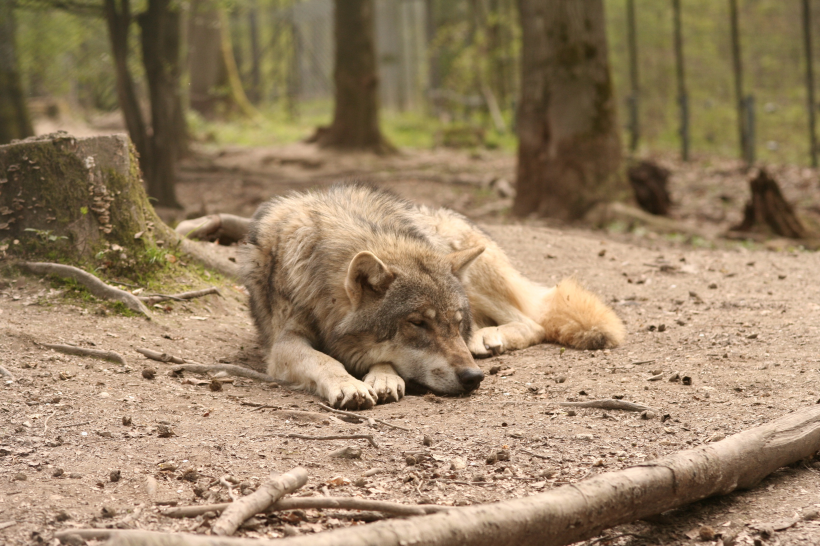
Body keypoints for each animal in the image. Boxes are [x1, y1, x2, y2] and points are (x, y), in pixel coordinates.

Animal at [240, 184, 624, 408]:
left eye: (455, 323)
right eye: (417, 323)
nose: (473, 378)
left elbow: (379, 357)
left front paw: (382, 377)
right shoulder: (284, 342)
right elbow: (324, 360)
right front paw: (353, 384)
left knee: (532, 322)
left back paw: (487, 338)